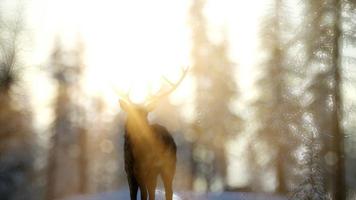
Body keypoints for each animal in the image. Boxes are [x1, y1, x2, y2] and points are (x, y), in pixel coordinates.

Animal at [117, 67, 188, 200]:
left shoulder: (147, 170)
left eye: (146, 114)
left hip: (169, 165)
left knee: (167, 191)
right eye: (130, 113)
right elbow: (133, 195)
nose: (137, 127)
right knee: (155, 192)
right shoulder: (129, 170)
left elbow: (144, 195)